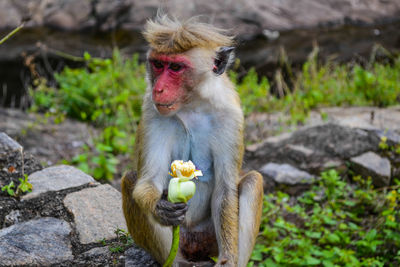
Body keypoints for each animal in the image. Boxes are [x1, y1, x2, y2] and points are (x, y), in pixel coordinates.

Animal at [122, 15, 266, 267]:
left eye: (175, 67)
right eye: (158, 64)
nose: (158, 89)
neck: (193, 105)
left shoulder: (231, 117)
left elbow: (225, 192)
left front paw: (228, 260)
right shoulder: (151, 111)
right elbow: (148, 182)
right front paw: (161, 208)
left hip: (208, 238)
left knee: (252, 181)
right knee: (130, 179)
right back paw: (176, 262)